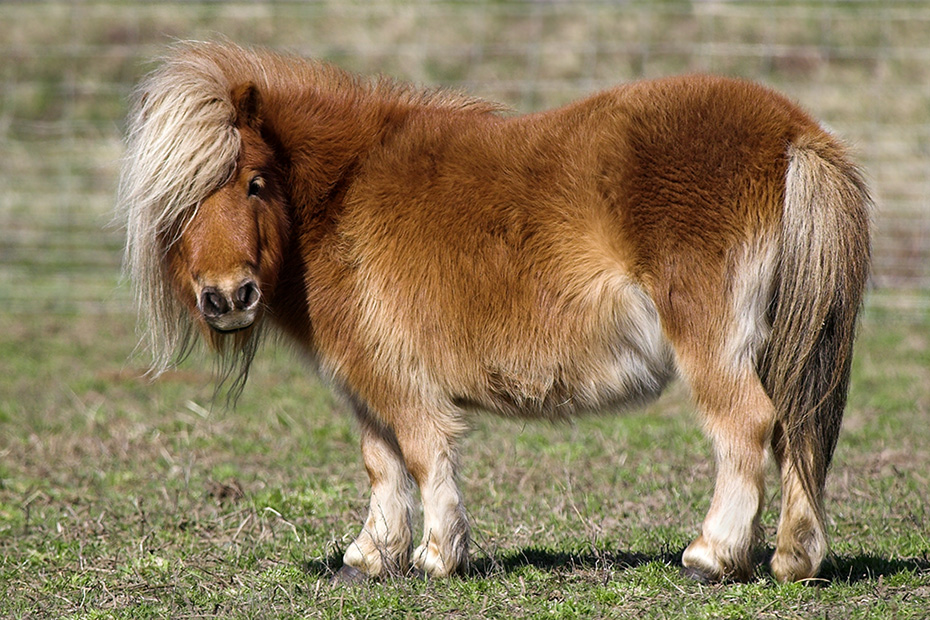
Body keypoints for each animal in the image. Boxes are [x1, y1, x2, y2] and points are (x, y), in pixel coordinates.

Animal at [118, 41, 872, 584]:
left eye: (254, 181)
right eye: (177, 207)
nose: (227, 298)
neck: (336, 199)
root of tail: (794, 132)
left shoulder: (397, 379)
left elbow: (422, 455)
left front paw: (435, 556)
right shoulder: (368, 384)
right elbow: (381, 464)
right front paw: (370, 558)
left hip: (711, 342)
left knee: (746, 426)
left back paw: (710, 557)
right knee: (795, 431)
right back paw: (794, 560)